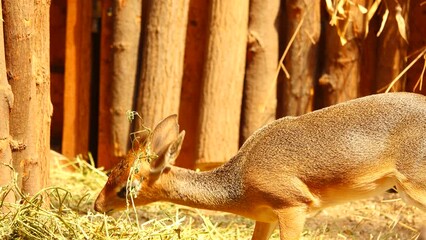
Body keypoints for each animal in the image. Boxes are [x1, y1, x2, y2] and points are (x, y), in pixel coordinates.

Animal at [95, 92, 426, 240]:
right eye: (113, 170)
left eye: (126, 188)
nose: (98, 205)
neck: (240, 180)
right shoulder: (265, 216)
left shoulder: (292, 207)